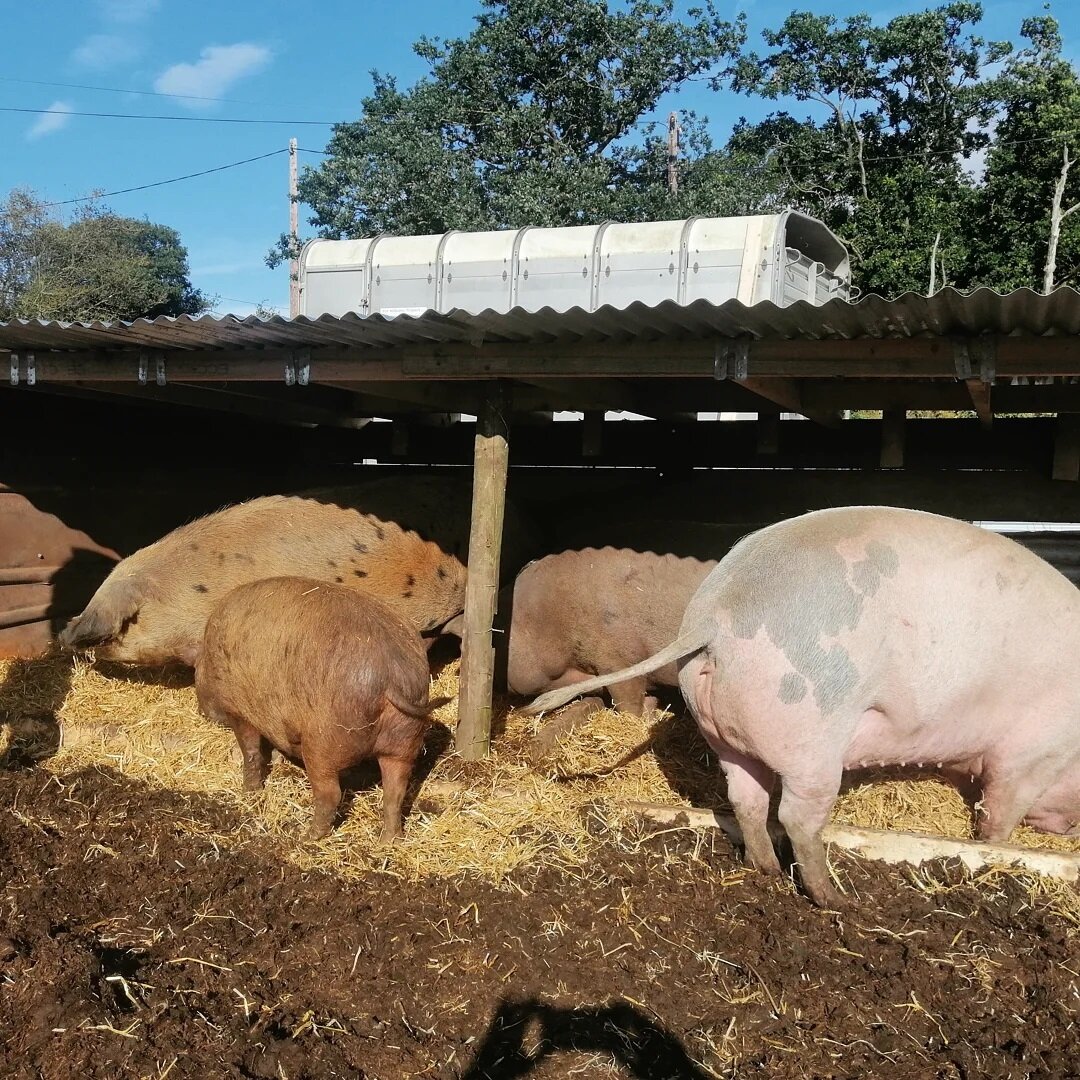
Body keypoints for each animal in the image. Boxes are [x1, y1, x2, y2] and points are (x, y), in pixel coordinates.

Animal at [194, 578, 447, 838]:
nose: (201, 708)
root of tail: (390, 676)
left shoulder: (238, 708)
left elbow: (252, 752)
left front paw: (249, 792)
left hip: (323, 741)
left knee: (330, 794)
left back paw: (306, 836)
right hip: (405, 737)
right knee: (395, 792)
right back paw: (389, 840)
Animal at [527, 505, 1080, 902]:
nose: (1068, 828)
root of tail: (716, 615)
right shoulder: (1031, 751)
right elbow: (1000, 811)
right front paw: (996, 850)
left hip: (726, 731)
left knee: (746, 799)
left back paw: (767, 870)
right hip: (812, 732)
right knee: (797, 816)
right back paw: (836, 899)